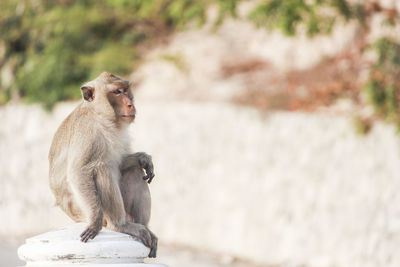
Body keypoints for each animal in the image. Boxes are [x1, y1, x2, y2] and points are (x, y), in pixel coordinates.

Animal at [48, 72, 158, 258]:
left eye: (126, 91)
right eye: (117, 92)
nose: (130, 104)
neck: (100, 116)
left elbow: (120, 162)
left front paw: (143, 158)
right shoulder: (88, 133)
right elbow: (79, 172)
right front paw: (95, 222)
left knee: (133, 171)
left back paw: (145, 227)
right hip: (82, 211)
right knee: (101, 168)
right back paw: (120, 225)